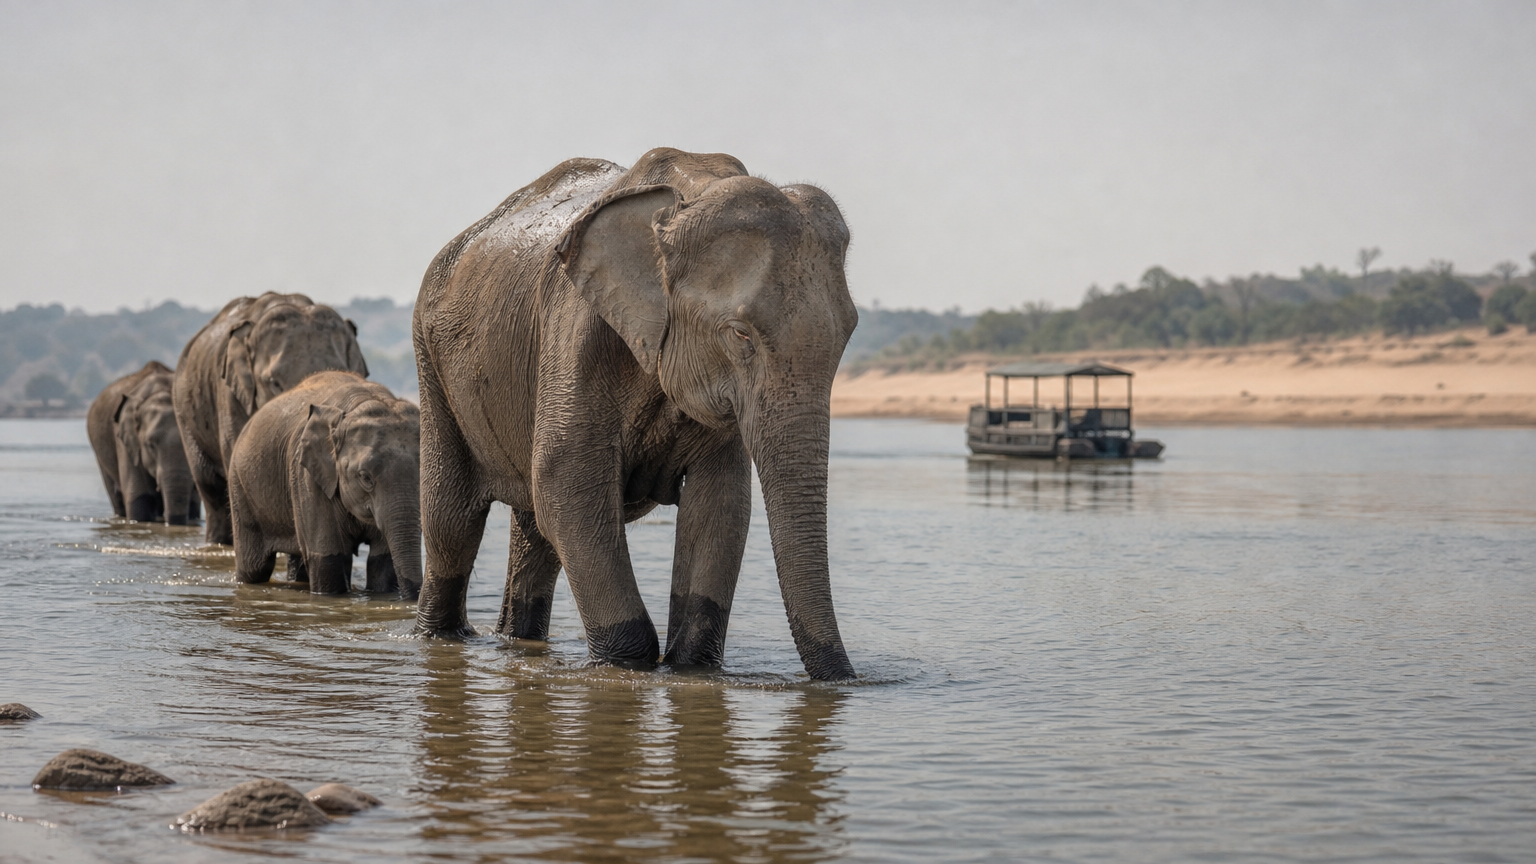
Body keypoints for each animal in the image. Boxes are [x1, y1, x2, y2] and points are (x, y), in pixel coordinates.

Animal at [227, 370, 421, 598]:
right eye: (365, 477)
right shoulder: (307, 477)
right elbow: (329, 565)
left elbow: (382, 564)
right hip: (239, 486)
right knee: (254, 568)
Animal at [411, 148, 858, 681]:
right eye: (740, 334)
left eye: (851, 329)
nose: (849, 680)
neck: (689, 196)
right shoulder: (575, 327)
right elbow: (567, 484)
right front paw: (628, 666)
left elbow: (721, 504)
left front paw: (691, 670)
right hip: (431, 359)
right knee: (452, 522)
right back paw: (439, 638)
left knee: (534, 533)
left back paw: (516, 642)